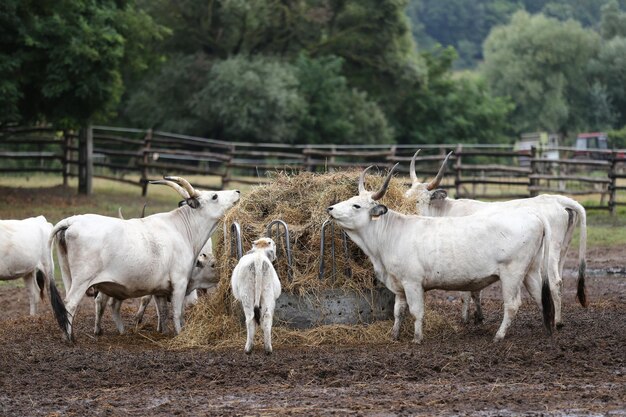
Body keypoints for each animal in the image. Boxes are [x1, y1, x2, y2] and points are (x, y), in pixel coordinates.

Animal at [47, 176, 239, 342]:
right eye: (214, 196)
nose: (237, 191)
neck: (182, 229)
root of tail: (73, 221)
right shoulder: (180, 282)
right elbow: (178, 312)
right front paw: (180, 333)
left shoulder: (161, 289)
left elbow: (163, 312)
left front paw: (163, 331)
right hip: (82, 280)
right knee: (71, 304)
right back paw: (70, 338)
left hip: (68, 276)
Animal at [324, 164, 552, 342]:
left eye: (356, 205)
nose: (330, 208)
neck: (390, 235)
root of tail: (535, 217)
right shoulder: (398, 285)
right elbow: (398, 312)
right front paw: (394, 335)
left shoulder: (412, 282)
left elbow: (416, 312)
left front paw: (417, 338)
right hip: (531, 271)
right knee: (541, 297)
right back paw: (548, 330)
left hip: (512, 273)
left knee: (512, 305)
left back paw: (499, 335)